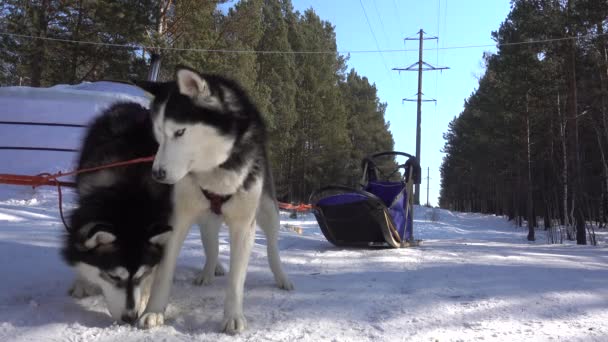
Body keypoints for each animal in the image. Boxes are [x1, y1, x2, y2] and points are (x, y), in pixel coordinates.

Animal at [137, 67, 294, 334]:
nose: (157, 174)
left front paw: (233, 316)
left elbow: (236, 279)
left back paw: (282, 277)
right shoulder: (178, 219)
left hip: (268, 212)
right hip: (206, 222)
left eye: (179, 132)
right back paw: (209, 271)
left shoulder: (244, 225)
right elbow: (163, 273)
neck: (216, 171)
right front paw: (154, 311)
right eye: (158, 135)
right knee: (212, 246)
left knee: (272, 247)